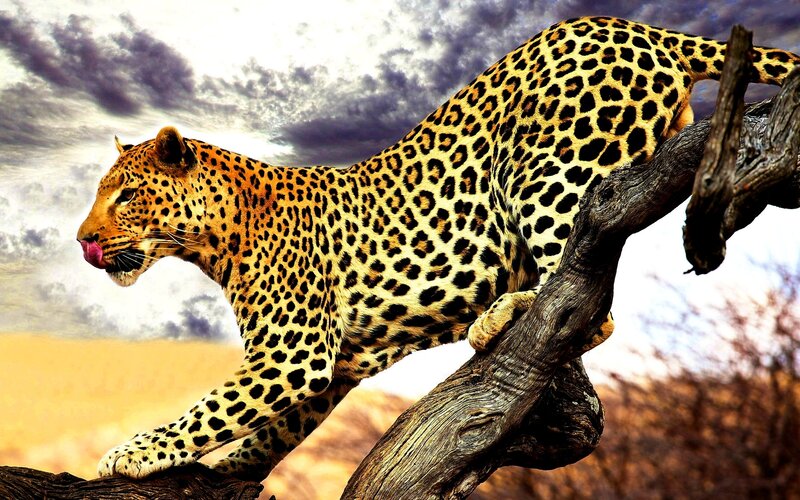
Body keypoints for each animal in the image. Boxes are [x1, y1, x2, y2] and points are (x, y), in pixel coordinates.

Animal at [77, 16, 799, 481]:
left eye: (125, 195)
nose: (83, 240)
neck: (217, 236)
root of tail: (636, 27)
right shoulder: (335, 364)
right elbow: (272, 428)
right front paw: (235, 468)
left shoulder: (293, 353)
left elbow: (210, 410)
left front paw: (131, 454)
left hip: (548, 170)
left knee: (590, 297)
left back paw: (504, 314)